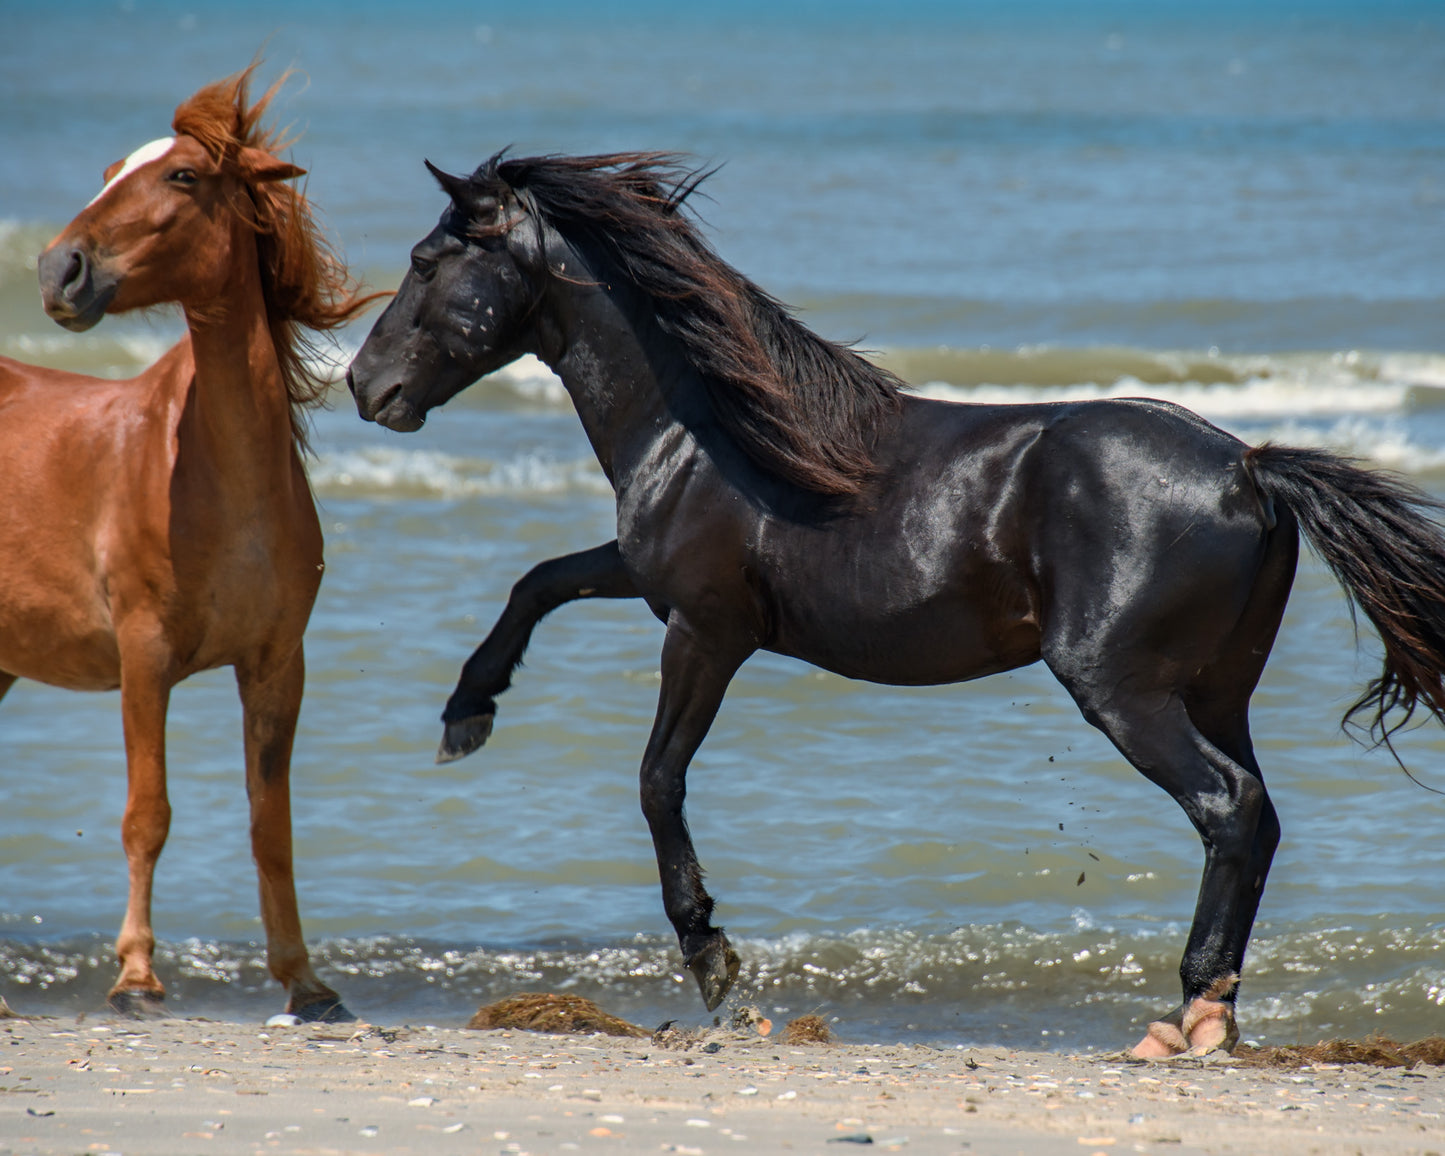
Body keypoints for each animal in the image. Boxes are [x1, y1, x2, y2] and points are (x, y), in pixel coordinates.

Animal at [2, 65, 372, 1023]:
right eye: (108, 171)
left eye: (183, 176)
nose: (60, 269)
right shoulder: (145, 654)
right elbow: (149, 813)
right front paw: (135, 976)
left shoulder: (277, 664)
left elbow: (269, 824)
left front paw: (306, 981)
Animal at [343, 153, 1445, 1057]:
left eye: (426, 261)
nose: (363, 384)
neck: (703, 431)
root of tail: (1247, 470)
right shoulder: (650, 581)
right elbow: (540, 580)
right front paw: (466, 713)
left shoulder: (707, 630)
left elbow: (657, 779)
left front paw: (712, 959)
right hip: (1215, 690)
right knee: (1257, 817)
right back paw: (1208, 1010)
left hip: (1120, 688)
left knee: (1226, 808)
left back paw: (1188, 1018)